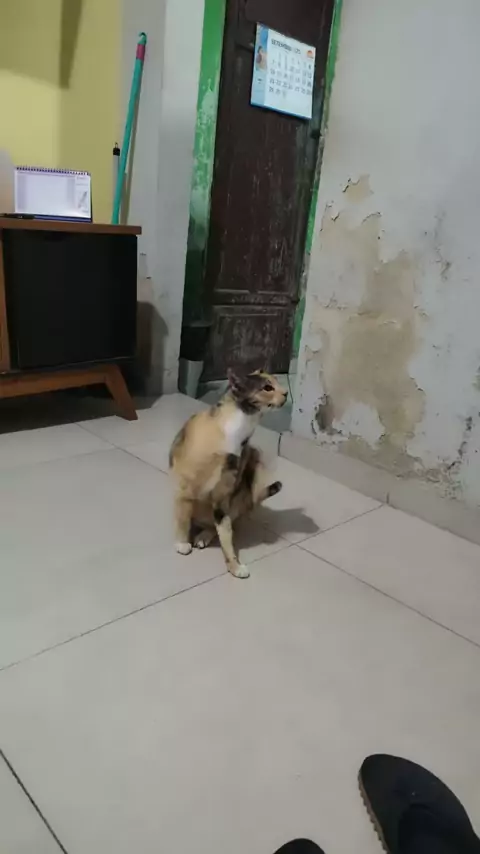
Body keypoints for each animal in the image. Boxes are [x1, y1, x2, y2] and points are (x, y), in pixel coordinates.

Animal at [169, 369, 288, 578]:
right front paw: (182, 543)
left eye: (277, 383)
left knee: (218, 523)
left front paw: (234, 565)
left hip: (252, 464)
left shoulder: (223, 496)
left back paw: (203, 536)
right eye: (267, 387)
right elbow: (183, 517)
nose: (287, 393)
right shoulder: (185, 487)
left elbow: (225, 533)